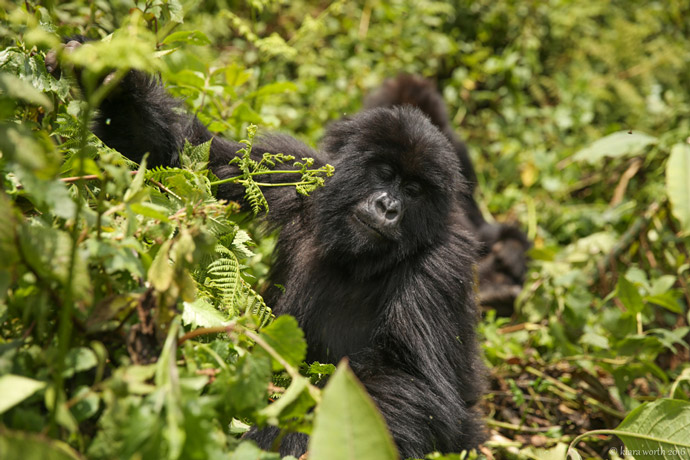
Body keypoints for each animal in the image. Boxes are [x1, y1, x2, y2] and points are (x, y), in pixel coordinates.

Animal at [51, 41, 484, 458]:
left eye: (413, 190)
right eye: (385, 174)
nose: (389, 207)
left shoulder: (441, 268)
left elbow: (413, 383)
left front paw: (289, 436)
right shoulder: (292, 170)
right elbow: (181, 155)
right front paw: (111, 79)